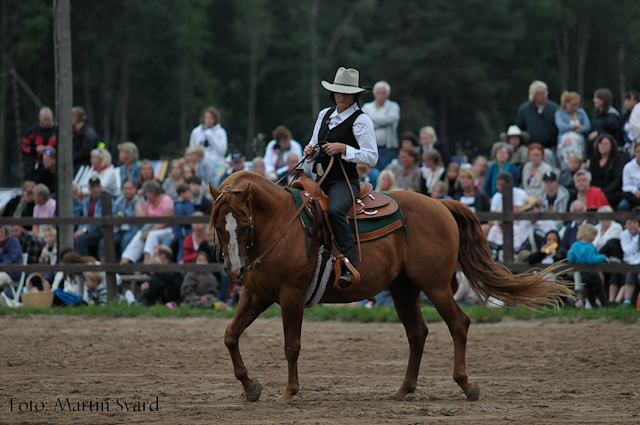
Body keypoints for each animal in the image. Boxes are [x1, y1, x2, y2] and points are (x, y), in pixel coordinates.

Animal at [209, 171, 568, 406]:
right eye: (218, 225)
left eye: (245, 225)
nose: (234, 269)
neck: (282, 222)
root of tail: (440, 204)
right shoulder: (257, 294)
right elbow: (230, 335)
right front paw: (250, 386)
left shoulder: (291, 295)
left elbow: (291, 345)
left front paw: (288, 392)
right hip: (403, 289)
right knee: (417, 333)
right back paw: (404, 389)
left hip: (436, 285)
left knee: (458, 324)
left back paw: (466, 385)